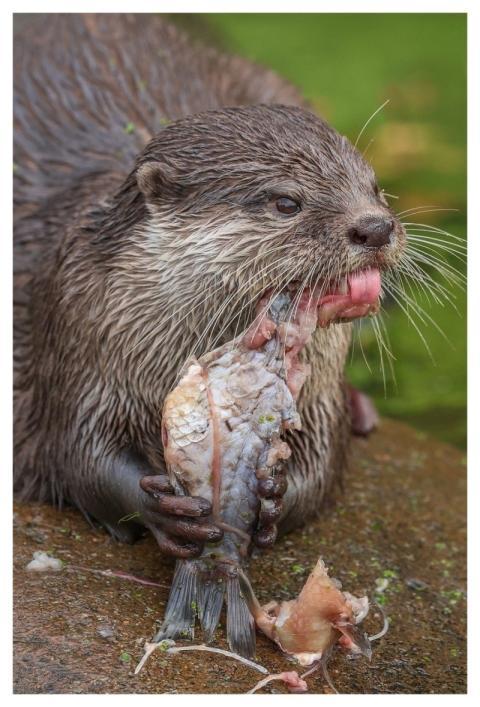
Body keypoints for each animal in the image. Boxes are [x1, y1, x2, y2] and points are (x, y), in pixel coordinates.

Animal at [13, 14, 405, 559]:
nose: (375, 226)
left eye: (374, 187)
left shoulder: (318, 390)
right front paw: (160, 509)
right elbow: (79, 456)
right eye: (286, 202)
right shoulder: (76, 328)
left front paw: (274, 495)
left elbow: (321, 468)